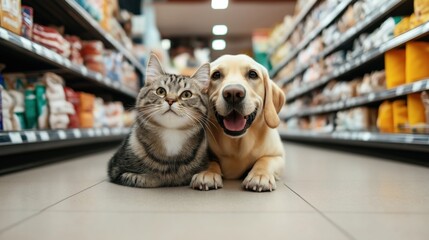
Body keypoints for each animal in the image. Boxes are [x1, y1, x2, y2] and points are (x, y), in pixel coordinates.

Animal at [108, 54, 210, 188]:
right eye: (160, 91)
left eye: (186, 94)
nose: (171, 100)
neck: (171, 135)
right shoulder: (116, 170)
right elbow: (148, 178)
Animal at [191, 54, 284, 191]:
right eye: (216, 75)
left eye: (252, 74)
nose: (233, 93)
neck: (237, 143)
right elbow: (211, 160)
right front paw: (207, 172)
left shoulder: (278, 156)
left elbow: (265, 160)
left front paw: (260, 175)